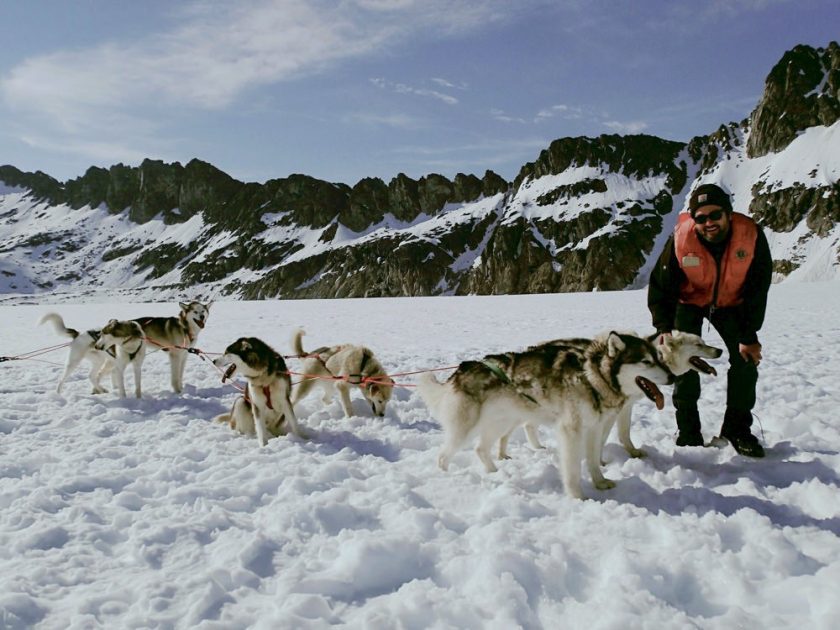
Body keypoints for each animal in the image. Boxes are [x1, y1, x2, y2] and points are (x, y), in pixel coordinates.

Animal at [420, 334, 676, 502]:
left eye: (659, 357)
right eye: (646, 361)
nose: (673, 377)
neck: (592, 378)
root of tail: (461, 370)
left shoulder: (594, 429)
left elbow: (593, 460)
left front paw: (600, 482)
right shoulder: (571, 431)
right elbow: (572, 471)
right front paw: (577, 497)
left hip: (500, 423)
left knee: (481, 449)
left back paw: (496, 473)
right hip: (465, 429)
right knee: (443, 455)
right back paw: (448, 477)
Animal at [498, 334, 720, 462]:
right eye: (699, 344)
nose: (719, 350)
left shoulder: (624, 408)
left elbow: (623, 433)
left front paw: (632, 452)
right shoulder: (610, 413)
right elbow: (606, 437)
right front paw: (599, 462)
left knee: (528, 425)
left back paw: (536, 447)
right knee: (510, 430)